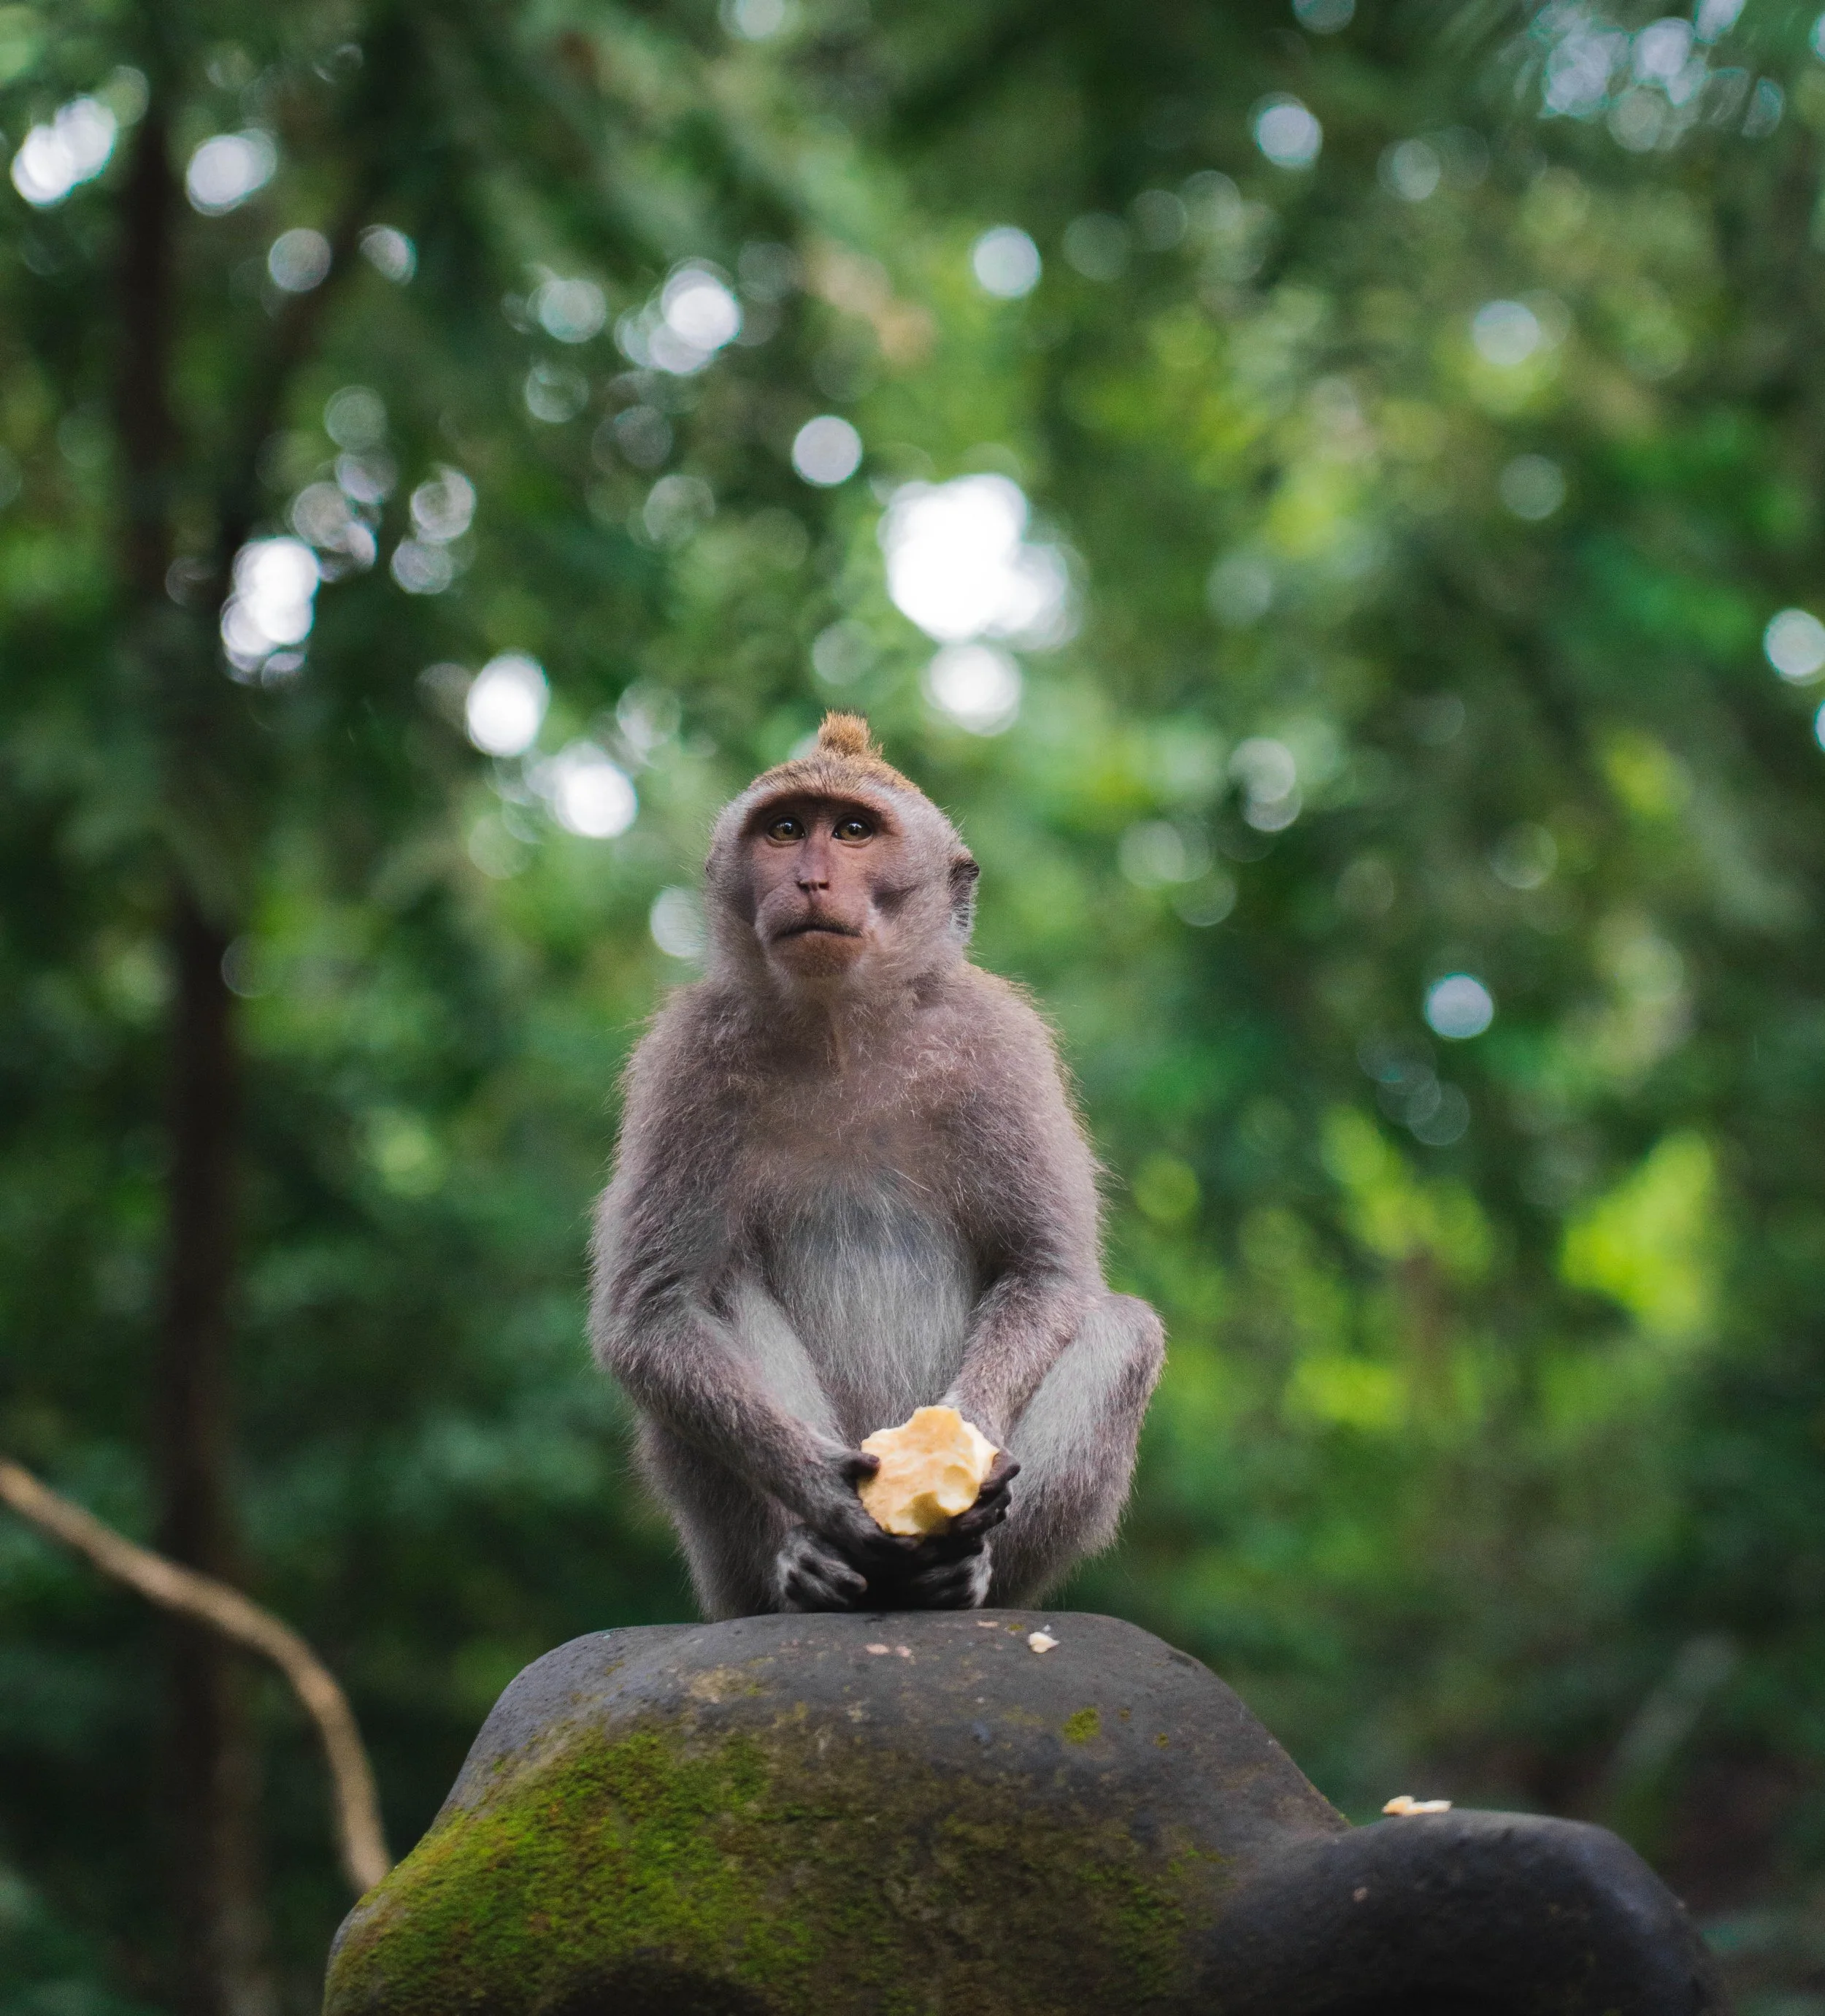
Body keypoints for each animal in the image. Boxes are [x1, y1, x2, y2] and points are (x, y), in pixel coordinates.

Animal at [589, 713, 1165, 1618]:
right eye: (787, 829)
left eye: (855, 831)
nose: (812, 877)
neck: (841, 1028)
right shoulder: (688, 1063)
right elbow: (653, 1309)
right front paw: (820, 1488)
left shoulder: (997, 1048)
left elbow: (1044, 1271)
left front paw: (966, 1437)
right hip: (727, 1575)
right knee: (714, 1295)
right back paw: (807, 1570)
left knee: (1124, 1329)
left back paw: (960, 1576)